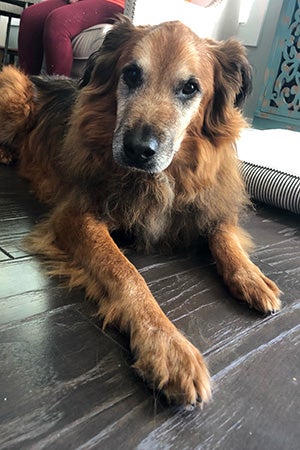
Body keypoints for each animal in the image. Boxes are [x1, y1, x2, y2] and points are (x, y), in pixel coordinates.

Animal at [0, 16, 282, 408]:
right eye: (131, 74)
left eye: (190, 87)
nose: (137, 149)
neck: (160, 178)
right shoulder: (77, 216)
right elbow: (127, 272)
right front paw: (167, 345)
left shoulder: (208, 204)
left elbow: (223, 236)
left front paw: (251, 276)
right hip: (15, 90)